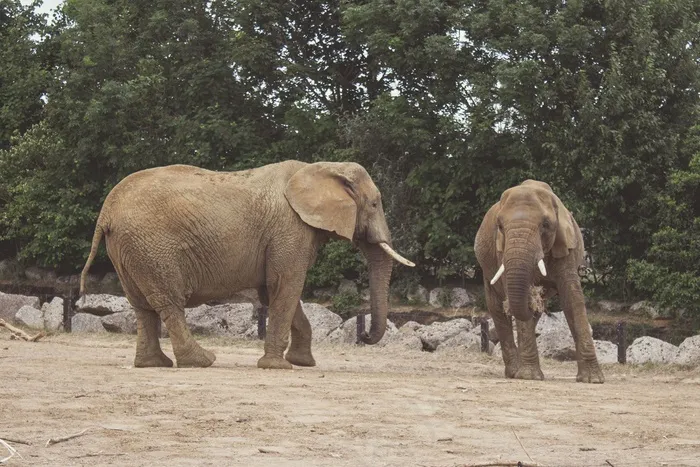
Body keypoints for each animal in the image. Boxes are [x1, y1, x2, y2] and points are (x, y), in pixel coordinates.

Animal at [79, 161, 412, 370]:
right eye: (374, 204)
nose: (365, 336)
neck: (323, 167)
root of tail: (106, 212)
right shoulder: (289, 230)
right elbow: (286, 286)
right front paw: (278, 367)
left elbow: (274, 290)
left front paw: (302, 363)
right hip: (152, 247)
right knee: (168, 302)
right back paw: (203, 361)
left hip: (130, 248)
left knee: (142, 306)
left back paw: (154, 364)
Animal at [476, 179, 600, 384]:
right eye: (499, 226)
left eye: (546, 224)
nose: (534, 295)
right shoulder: (502, 249)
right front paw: (529, 377)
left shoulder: (566, 247)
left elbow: (572, 298)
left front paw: (592, 379)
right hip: (487, 268)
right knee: (496, 308)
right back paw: (514, 372)